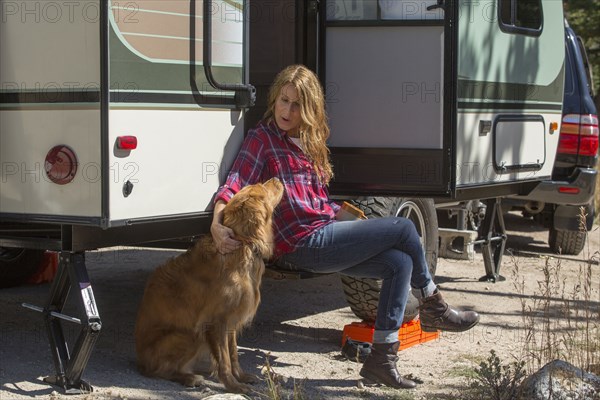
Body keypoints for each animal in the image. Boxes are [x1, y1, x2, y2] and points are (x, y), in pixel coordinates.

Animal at [135, 178, 284, 394]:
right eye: (263, 187)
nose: (277, 179)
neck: (242, 244)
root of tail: (140, 361)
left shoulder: (231, 319)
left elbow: (233, 354)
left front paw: (241, 377)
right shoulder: (215, 321)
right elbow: (224, 360)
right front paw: (233, 386)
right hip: (190, 335)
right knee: (159, 371)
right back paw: (189, 378)